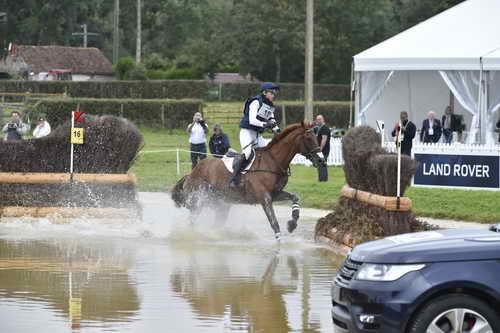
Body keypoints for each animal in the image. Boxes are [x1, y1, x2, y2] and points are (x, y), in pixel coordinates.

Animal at [172, 120, 326, 240]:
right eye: (308, 138)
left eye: (316, 137)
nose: (321, 160)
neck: (273, 161)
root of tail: (191, 173)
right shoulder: (265, 198)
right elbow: (274, 223)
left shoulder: (275, 194)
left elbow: (295, 197)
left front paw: (292, 224)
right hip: (199, 202)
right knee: (192, 222)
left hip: (221, 205)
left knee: (214, 224)